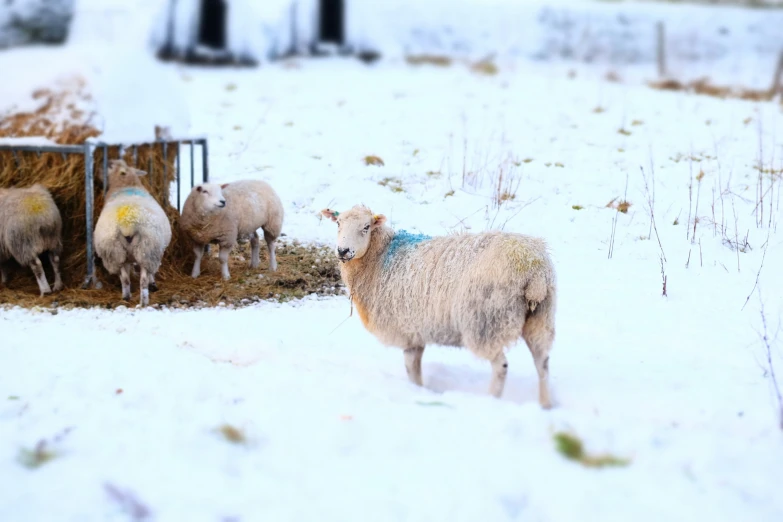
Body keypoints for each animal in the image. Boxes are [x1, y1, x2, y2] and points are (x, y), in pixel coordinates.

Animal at [93, 158, 172, 304]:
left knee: (125, 279)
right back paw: (144, 301)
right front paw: (153, 284)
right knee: (143, 280)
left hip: (115, 253)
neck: (126, 185)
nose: (104, 162)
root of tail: (127, 224)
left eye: (110, 166)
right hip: (148, 250)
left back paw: (126, 297)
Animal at [320, 203, 556, 406]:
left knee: (501, 366)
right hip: (540, 318)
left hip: (487, 321)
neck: (379, 257)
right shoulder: (416, 331)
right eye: (338, 223)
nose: (343, 251)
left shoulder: (406, 331)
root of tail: (533, 267)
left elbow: (411, 369)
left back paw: (492, 400)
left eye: (366, 227)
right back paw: (545, 404)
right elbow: (415, 368)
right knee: (542, 363)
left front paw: (416, 391)